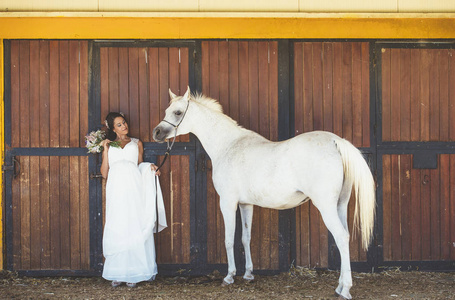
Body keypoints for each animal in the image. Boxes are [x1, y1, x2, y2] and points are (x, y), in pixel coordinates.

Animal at [152, 86, 374, 300]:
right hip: (340, 205)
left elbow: (229, 239)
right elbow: (246, 238)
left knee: (341, 237)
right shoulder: (245, 204)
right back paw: (339, 287)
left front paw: (229, 276)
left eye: (178, 112)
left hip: (326, 206)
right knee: (345, 236)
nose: (156, 133)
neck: (228, 146)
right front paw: (249, 274)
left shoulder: (228, 202)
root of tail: (336, 142)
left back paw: (345, 290)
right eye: (166, 110)